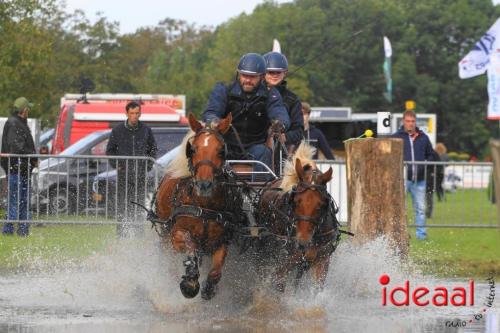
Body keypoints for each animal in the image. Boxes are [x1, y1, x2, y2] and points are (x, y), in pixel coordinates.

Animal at [154, 113, 244, 300]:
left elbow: (216, 271)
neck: (204, 206)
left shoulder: (221, 241)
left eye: (221, 150)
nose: (204, 185)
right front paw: (189, 283)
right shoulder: (176, 235)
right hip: (165, 234)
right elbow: (191, 248)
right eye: (193, 149)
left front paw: (209, 288)